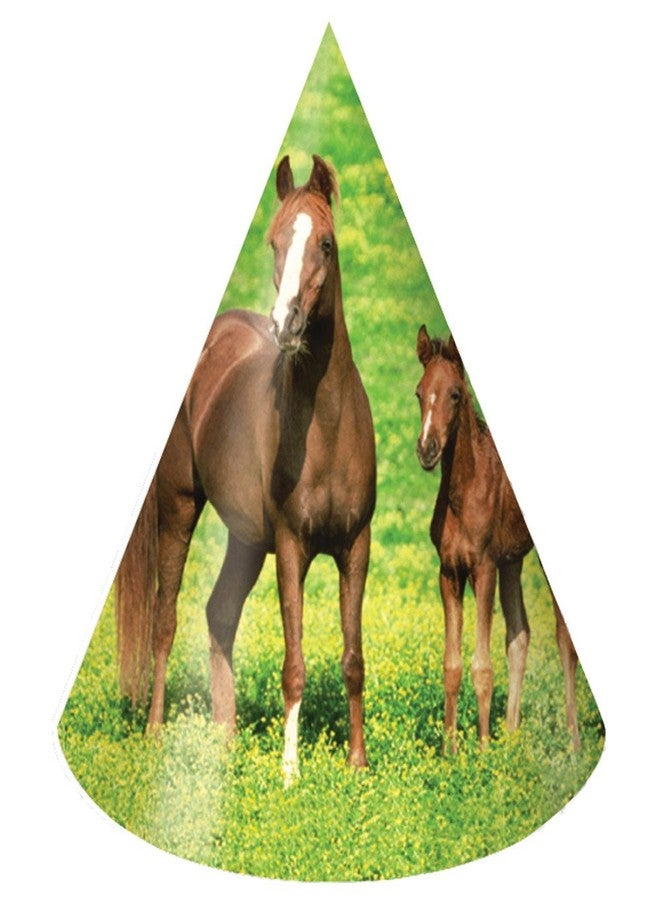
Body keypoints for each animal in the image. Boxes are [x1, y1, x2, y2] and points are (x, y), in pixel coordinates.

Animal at [115, 155, 377, 783]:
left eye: (326, 243)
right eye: (275, 241)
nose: (286, 325)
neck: (327, 428)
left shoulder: (356, 545)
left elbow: (352, 657)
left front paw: (358, 764)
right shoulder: (291, 547)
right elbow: (294, 662)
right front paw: (290, 772)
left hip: (246, 538)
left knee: (219, 614)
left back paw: (225, 735)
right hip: (181, 510)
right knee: (166, 621)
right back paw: (157, 731)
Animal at [415, 326, 580, 751]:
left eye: (456, 394)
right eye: (420, 393)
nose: (427, 450)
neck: (464, 492)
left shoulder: (483, 568)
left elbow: (481, 666)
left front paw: (484, 749)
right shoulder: (449, 572)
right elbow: (453, 664)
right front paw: (450, 750)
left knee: (563, 639)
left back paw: (572, 742)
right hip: (512, 561)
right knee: (519, 635)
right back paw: (511, 734)